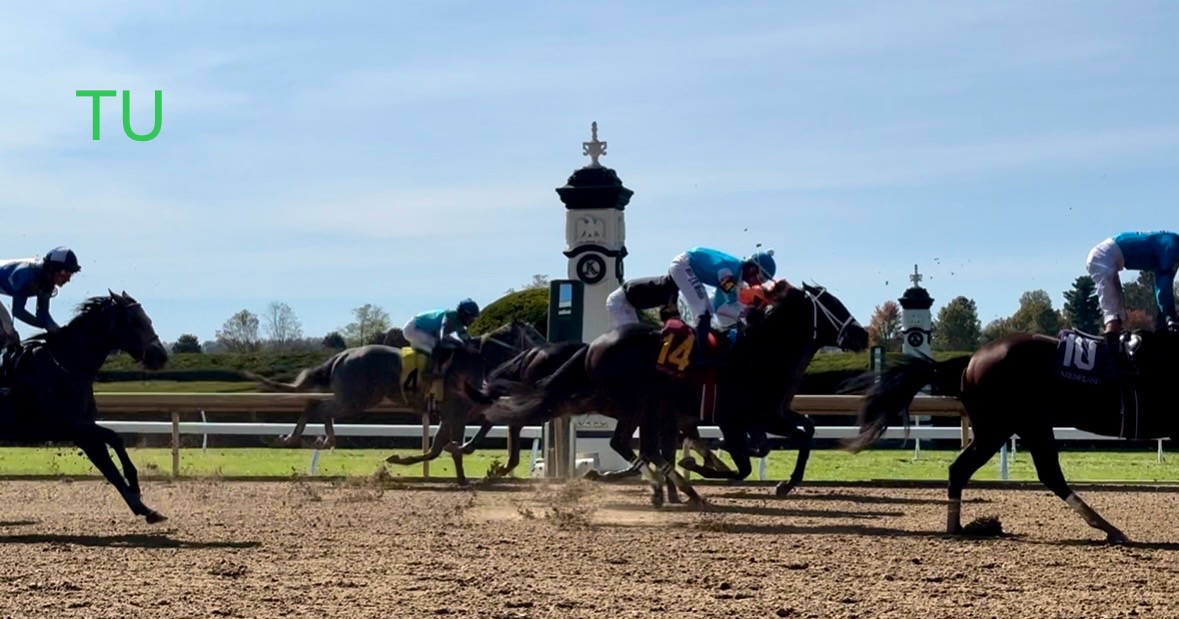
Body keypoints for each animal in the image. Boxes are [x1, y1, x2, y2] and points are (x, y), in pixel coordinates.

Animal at [0, 293, 170, 521]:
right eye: (136, 321)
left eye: (148, 319)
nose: (160, 356)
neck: (66, 366)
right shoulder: (71, 426)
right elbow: (113, 440)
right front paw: (137, 494)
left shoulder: (84, 432)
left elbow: (111, 465)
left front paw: (143, 504)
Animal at [469, 281, 867, 504]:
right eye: (834, 306)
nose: (862, 334)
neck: (758, 354)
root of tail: (593, 346)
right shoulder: (739, 418)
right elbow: (745, 463)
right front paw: (695, 467)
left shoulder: (771, 413)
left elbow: (805, 432)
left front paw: (785, 483)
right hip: (632, 403)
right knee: (626, 444)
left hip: (638, 407)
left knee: (637, 447)